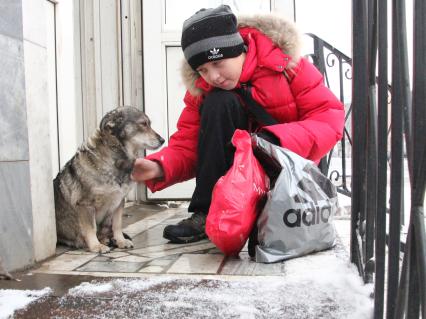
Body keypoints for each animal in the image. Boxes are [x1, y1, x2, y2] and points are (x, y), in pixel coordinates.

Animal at [54, 106, 164, 254]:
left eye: (149, 124)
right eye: (143, 124)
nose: (162, 140)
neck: (115, 162)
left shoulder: (119, 202)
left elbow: (117, 225)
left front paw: (121, 241)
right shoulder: (85, 204)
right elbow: (91, 228)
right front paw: (96, 246)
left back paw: (107, 239)